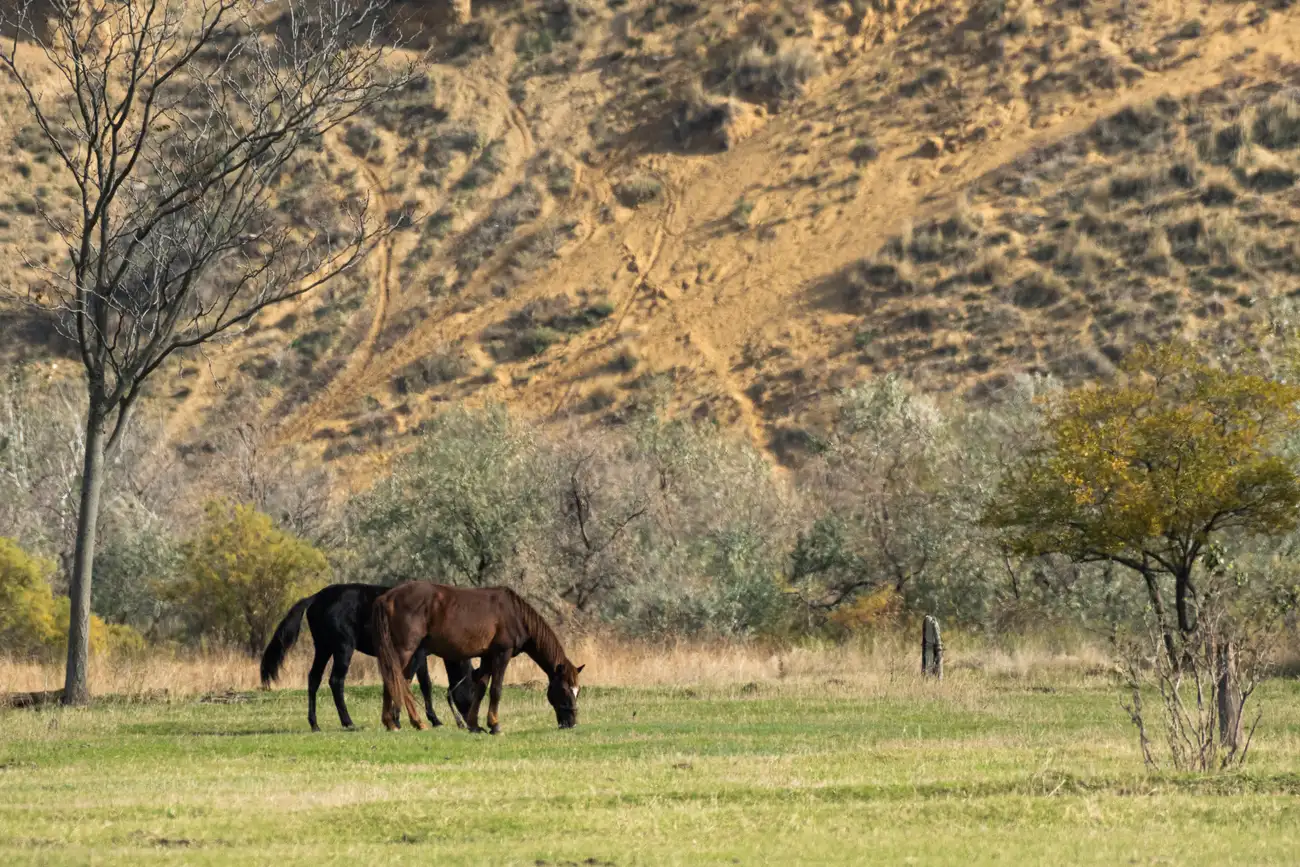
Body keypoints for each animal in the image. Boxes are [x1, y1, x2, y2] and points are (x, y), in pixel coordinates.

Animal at [260, 583, 477, 732]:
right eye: (474, 691)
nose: (469, 723)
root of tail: (316, 598)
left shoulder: (419, 657)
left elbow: (423, 684)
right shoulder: (417, 655)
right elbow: (410, 682)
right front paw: (408, 719)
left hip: (323, 648)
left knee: (314, 679)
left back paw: (315, 724)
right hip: (342, 648)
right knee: (335, 681)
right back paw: (348, 722)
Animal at [371, 582, 584, 734]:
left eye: (578, 691)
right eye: (564, 689)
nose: (572, 723)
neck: (515, 614)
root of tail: (387, 597)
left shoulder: (487, 657)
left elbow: (481, 690)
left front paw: (475, 725)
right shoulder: (502, 654)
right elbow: (496, 690)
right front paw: (495, 726)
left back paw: (398, 722)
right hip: (405, 650)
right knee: (394, 680)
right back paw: (406, 722)